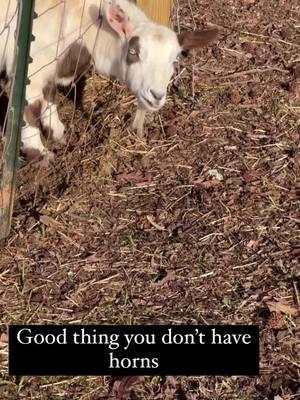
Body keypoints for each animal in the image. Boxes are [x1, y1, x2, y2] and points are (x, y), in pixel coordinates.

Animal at [0, 1, 217, 161]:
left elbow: (50, 95)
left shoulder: (48, 67)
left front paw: (58, 132)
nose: (156, 96)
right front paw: (39, 153)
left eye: (175, 60)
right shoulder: (31, 68)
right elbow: (29, 108)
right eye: (133, 52)